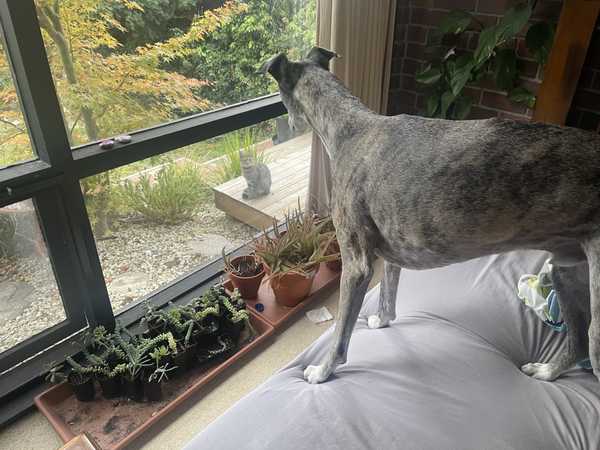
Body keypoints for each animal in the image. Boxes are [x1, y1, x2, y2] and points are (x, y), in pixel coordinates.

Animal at [264, 46, 600, 384]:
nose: (286, 128)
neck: (352, 129)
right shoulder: (391, 254)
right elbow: (388, 295)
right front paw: (381, 321)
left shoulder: (356, 263)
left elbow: (340, 336)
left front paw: (321, 372)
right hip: (567, 270)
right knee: (578, 342)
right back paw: (546, 371)